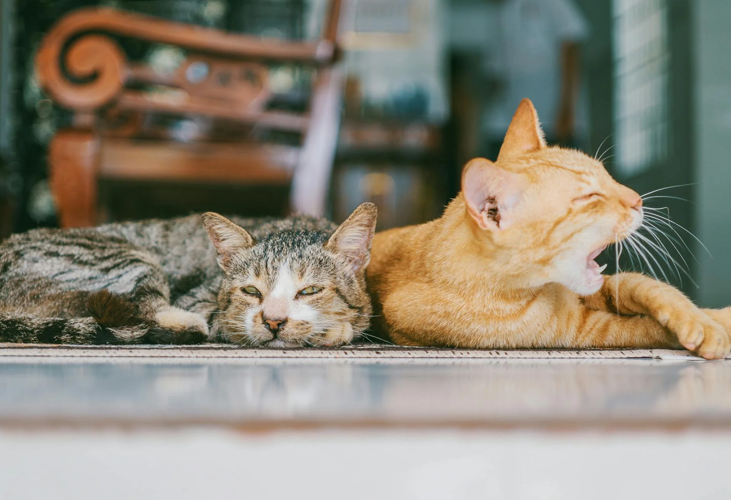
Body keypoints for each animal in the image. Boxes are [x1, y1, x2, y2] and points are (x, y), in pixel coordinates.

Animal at [0, 201, 378, 346]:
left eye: (310, 291)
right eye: (251, 291)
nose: (273, 321)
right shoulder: (202, 301)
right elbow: (225, 321)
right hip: (129, 258)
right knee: (149, 312)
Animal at [368, 98, 731, 360]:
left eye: (608, 177)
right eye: (589, 197)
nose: (638, 199)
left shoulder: (604, 289)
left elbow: (651, 288)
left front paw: (704, 317)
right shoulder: (583, 332)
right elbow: (649, 329)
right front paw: (716, 329)